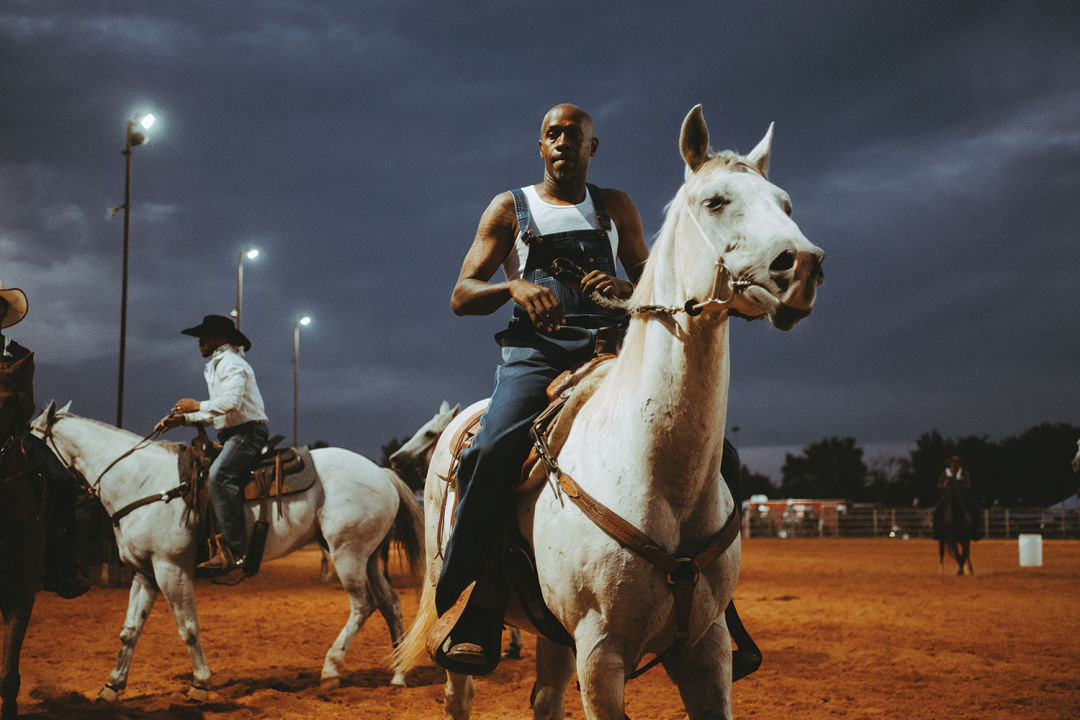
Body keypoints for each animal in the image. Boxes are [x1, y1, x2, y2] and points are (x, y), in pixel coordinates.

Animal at [29, 403, 425, 699]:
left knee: (363, 605)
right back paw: (397, 674)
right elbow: (129, 631)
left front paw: (201, 683)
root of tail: (381, 473)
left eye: (27, 439)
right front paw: (112, 686)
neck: (142, 481)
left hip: (347, 553)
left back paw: (331, 670)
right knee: (390, 603)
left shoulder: (172, 569)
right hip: (367, 556)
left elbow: (188, 627)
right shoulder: (145, 573)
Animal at [393, 106, 820, 720]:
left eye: (784, 203)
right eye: (715, 200)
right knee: (459, 690)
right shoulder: (600, 652)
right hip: (457, 612)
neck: (655, 469)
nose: (803, 266)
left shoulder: (707, 647)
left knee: (545, 698)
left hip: (555, 636)